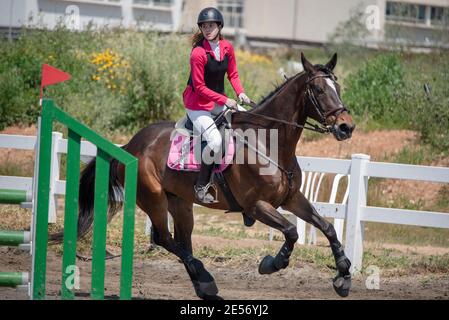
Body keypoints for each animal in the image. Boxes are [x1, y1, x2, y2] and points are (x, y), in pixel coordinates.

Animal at [75, 52, 356, 300]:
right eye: (319, 90)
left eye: (338, 87)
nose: (346, 127)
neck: (270, 144)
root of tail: (130, 145)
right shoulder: (256, 206)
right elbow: (291, 231)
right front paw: (272, 263)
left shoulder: (291, 199)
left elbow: (328, 227)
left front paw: (343, 275)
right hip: (153, 199)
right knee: (165, 239)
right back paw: (205, 277)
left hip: (180, 202)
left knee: (182, 241)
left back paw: (203, 285)